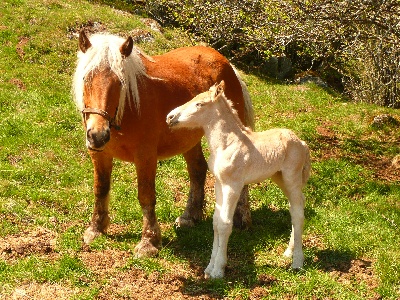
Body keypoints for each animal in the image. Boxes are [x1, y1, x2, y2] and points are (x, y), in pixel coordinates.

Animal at [72, 30, 253, 256]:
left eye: (120, 82)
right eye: (86, 78)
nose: (98, 135)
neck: (127, 110)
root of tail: (227, 64)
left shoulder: (146, 157)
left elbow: (146, 196)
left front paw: (149, 242)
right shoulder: (100, 154)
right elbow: (101, 188)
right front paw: (96, 228)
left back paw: (242, 218)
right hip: (189, 139)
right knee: (197, 169)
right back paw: (190, 216)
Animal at [166, 81, 312, 278]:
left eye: (199, 104)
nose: (170, 117)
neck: (226, 144)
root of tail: (302, 143)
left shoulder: (232, 186)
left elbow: (225, 224)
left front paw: (218, 271)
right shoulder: (219, 184)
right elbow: (216, 222)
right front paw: (209, 268)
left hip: (292, 178)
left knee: (297, 213)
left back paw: (297, 262)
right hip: (280, 178)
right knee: (296, 206)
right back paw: (289, 252)